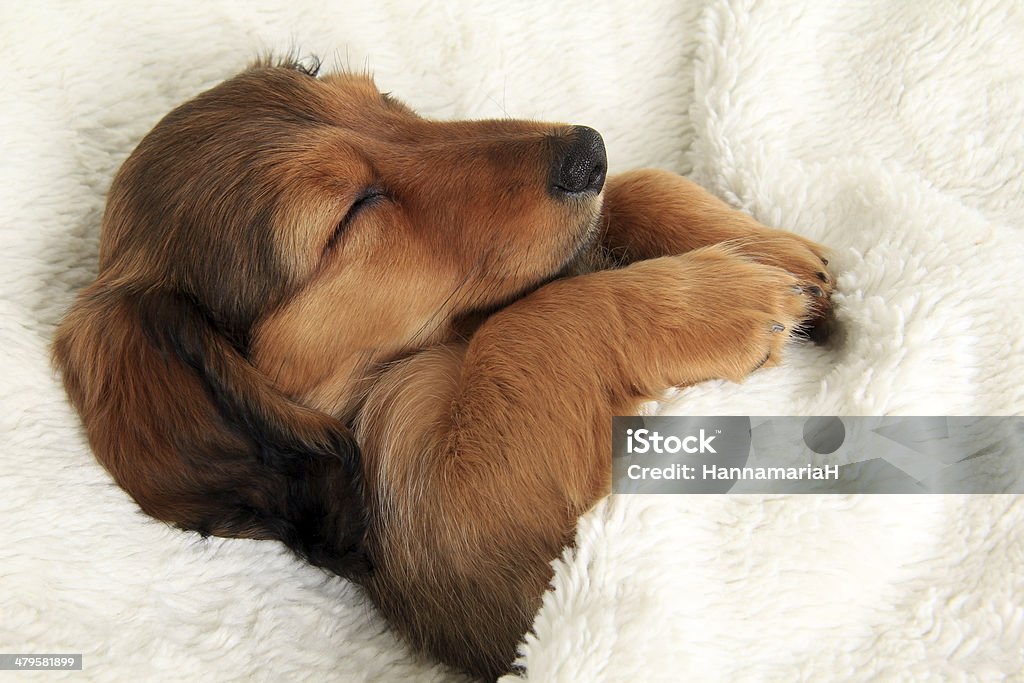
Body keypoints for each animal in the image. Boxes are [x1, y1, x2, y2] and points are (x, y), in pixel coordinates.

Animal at [54, 57, 831, 679]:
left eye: (380, 100)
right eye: (349, 214)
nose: (589, 151)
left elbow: (636, 191)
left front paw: (767, 247)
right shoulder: (472, 537)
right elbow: (524, 325)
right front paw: (722, 297)